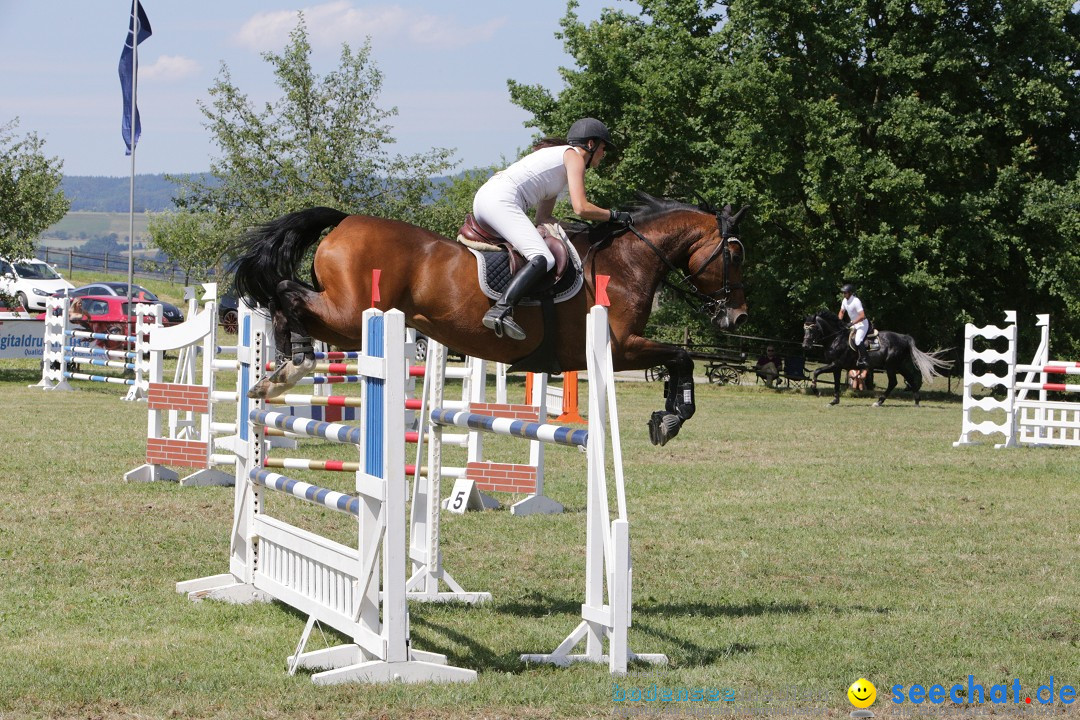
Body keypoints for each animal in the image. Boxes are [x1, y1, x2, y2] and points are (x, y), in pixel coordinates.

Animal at [231, 194, 747, 446]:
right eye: (736, 256)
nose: (737, 316)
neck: (626, 261)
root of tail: (344, 221)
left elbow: (678, 359)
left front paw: (667, 414)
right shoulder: (618, 347)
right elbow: (681, 356)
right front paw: (673, 417)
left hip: (346, 319)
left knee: (290, 300)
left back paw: (278, 371)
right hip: (349, 315)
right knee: (285, 292)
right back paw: (290, 366)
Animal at [799, 310, 950, 408]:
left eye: (812, 329)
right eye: (804, 329)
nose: (805, 345)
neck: (836, 338)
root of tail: (904, 337)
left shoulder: (836, 364)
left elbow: (816, 371)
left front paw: (816, 391)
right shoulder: (836, 366)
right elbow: (835, 383)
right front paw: (834, 401)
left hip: (891, 366)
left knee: (894, 382)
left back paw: (879, 402)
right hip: (901, 365)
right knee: (912, 377)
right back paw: (917, 401)